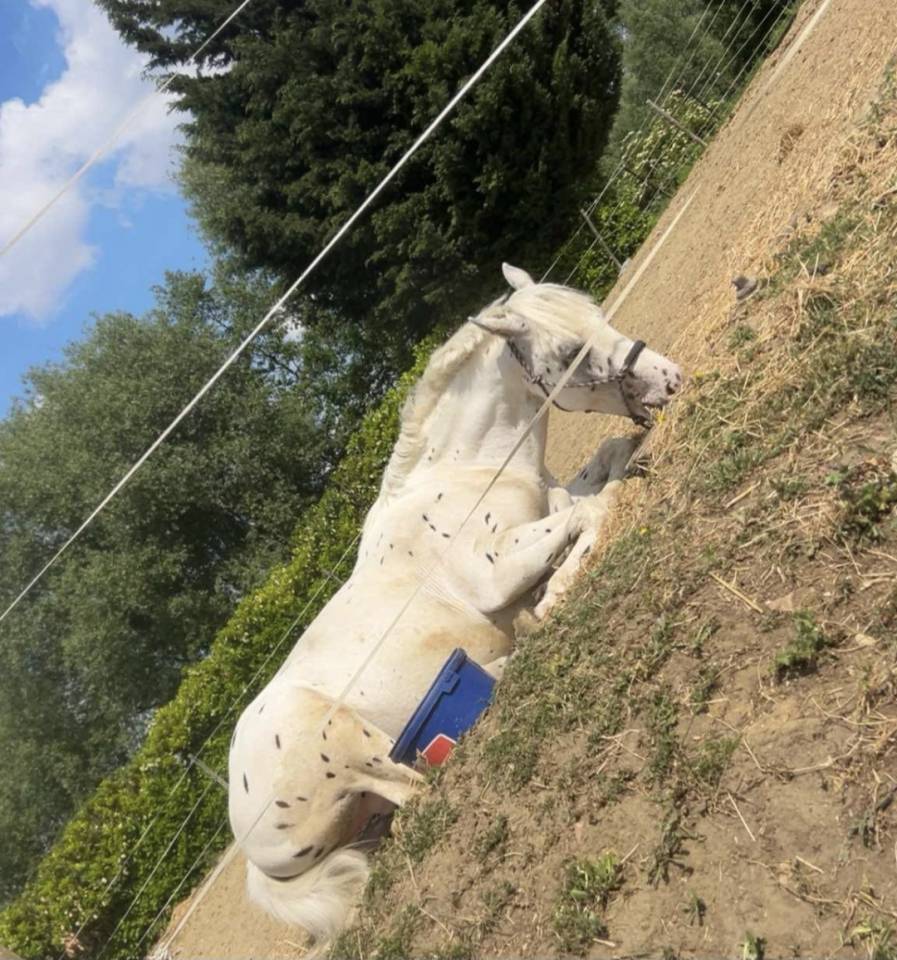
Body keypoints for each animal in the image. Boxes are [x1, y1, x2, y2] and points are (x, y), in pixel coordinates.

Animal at [228, 263, 683, 943]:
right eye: (570, 352)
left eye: (599, 316)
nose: (669, 378)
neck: (471, 473)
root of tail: (250, 851)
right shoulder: (498, 567)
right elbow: (592, 511)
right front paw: (554, 595)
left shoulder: (550, 500)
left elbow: (603, 465)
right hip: (346, 745)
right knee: (420, 792)